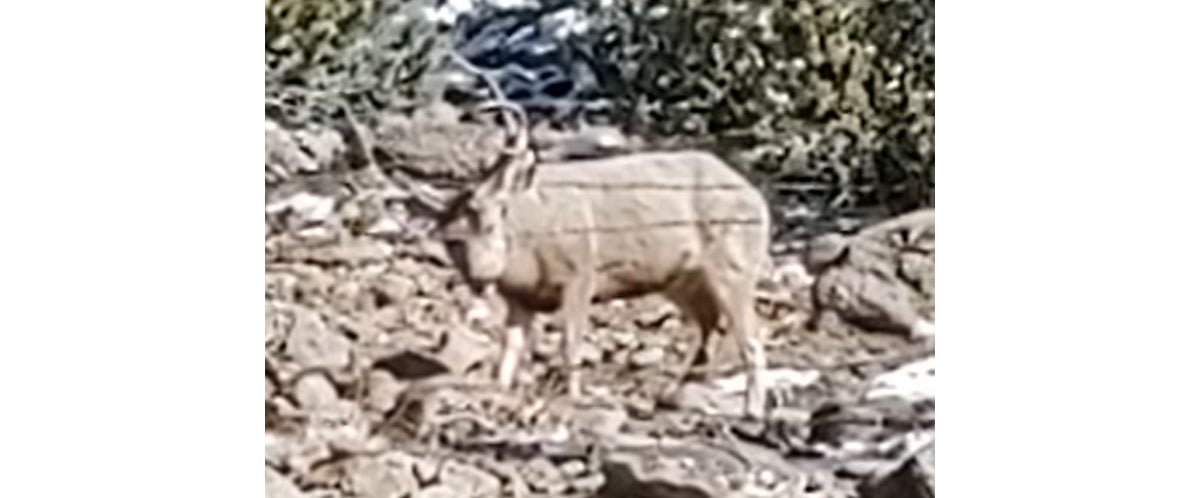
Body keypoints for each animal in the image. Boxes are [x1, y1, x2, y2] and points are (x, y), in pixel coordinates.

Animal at [436, 100, 772, 417]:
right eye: (452, 241)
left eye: (494, 219)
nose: (482, 277)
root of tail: (758, 199)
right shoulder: (519, 298)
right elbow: (510, 349)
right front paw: (498, 392)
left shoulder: (580, 271)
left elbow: (570, 342)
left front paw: (574, 397)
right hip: (682, 280)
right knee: (710, 325)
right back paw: (676, 394)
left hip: (734, 263)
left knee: (751, 338)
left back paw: (752, 410)